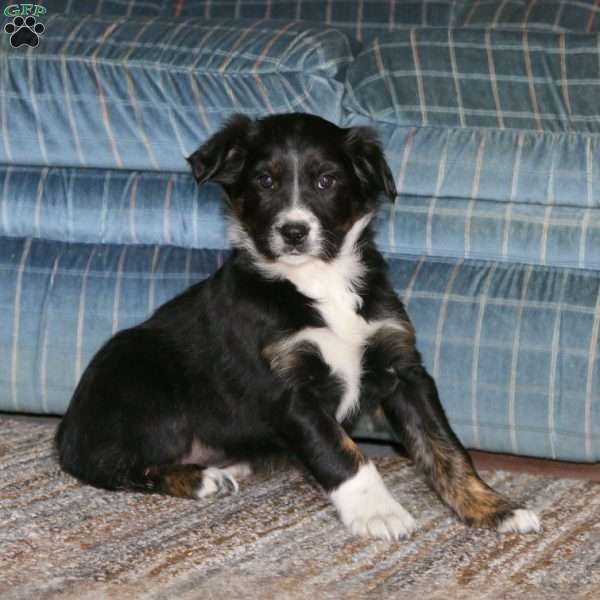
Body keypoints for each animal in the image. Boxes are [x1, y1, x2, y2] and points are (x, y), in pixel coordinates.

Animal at [55, 112, 540, 540]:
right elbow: (345, 454)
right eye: (264, 182)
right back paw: (199, 478)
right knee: (110, 466)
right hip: (148, 384)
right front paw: (378, 512)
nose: (293, 232)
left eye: (327, 181)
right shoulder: (289, 390)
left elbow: (445, 447)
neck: (317, 280)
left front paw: (493, 507)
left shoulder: (403, 368)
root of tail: (66, 429)